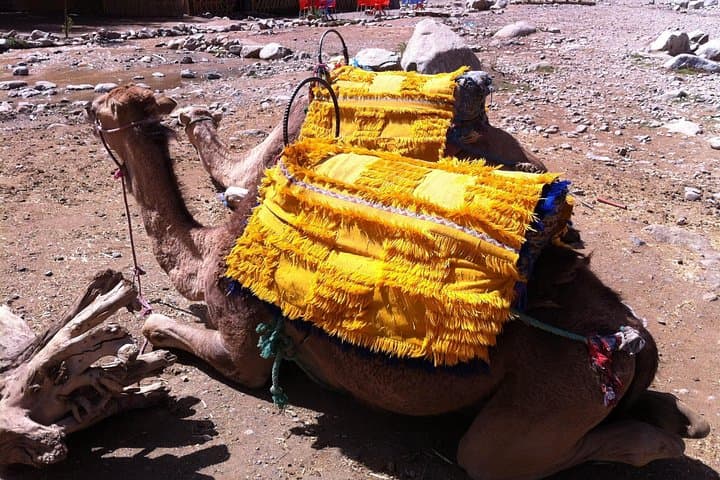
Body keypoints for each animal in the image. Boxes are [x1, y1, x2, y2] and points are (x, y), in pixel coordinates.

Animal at [88, 85, 709, 480]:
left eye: (99, 108)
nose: (83, 106)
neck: (210, 253)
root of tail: (625, 341)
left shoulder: (242, 344)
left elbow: (165, 326)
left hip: (547, 404)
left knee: (495, 456)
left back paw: (671, 437)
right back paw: (690, 417)